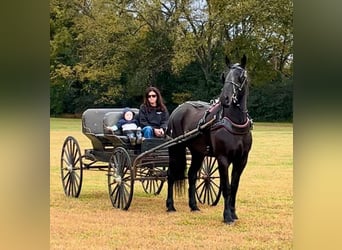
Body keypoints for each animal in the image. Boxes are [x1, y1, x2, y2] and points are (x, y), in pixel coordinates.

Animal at [167, 55, 252, 225]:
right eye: (224, 76)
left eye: (240, 77)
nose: (225, 98)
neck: (235, 123)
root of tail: (178, 109)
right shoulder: (223, 158)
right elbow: (226, 187)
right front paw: (227, 216)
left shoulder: (242, 159)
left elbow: (234, 187)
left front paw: (234, 213)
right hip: (176, 148)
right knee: (171, 174)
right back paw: (170, 205)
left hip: (198, 153)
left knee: (192, 175)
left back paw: (193, 206)